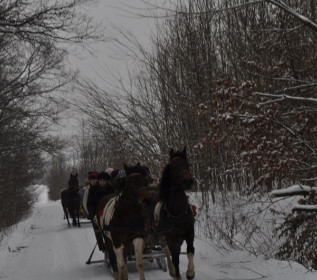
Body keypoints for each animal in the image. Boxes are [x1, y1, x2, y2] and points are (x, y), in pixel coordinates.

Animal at [154, 147, 195, 280]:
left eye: (187, 164)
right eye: (174, 166)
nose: (187, 181)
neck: (178, 212)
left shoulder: (189, 232)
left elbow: (190, 251)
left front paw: (190, 273)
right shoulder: (170, 237)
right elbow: (175, 258)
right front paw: (177, 275)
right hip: (161, 236)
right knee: (167, 252)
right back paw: (172, 270)